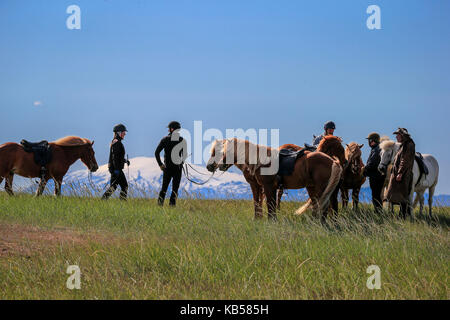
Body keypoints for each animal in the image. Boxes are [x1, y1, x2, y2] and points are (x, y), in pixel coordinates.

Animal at [207, 139, 342, 221]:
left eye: (218, 152)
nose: (209, 166)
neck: (259, 161)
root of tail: (332, 161)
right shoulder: (264, 187)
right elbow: (263, 203)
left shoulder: (267, 186)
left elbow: (269, 204)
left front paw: (270, 221)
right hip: (315, 188)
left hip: (321, 188)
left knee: (323, 206)